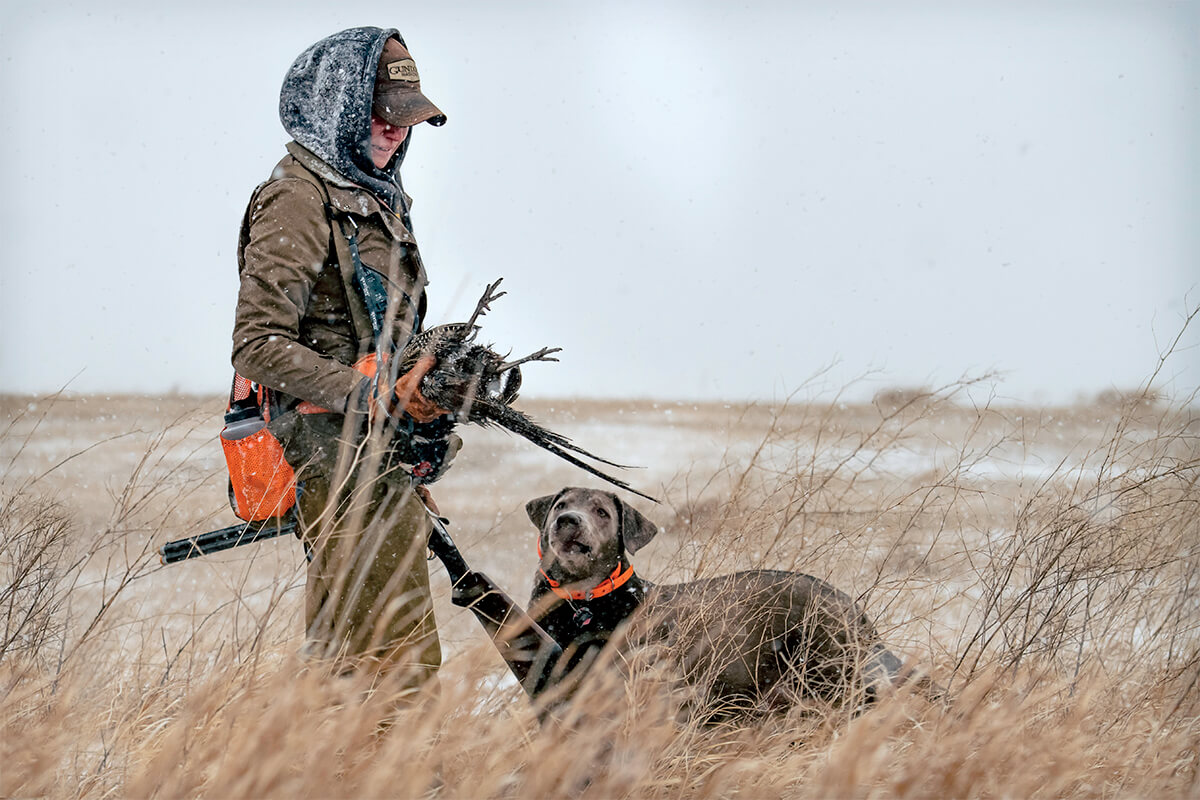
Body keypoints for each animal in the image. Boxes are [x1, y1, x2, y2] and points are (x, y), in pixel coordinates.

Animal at [525, 491, 907, 714]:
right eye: (561, 505)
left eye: (602, 512)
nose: (567, 521)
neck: (581, 601)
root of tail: (849, 604)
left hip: (827, 669)